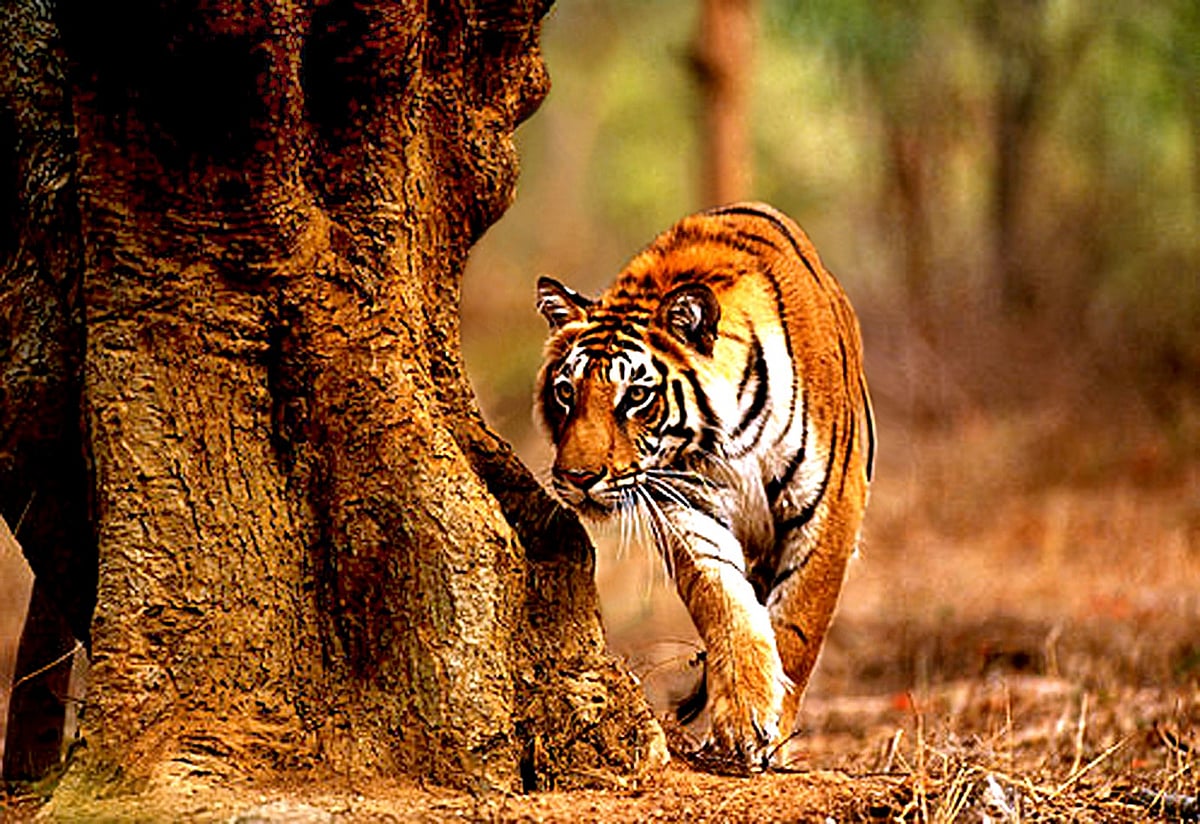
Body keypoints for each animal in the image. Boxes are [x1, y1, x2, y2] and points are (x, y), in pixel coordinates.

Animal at [534, 202, 875, 768]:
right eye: (566, 393)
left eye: (635, 397)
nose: (577, 478)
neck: (728, 437)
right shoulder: (686, 504)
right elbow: (726, 606)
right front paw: (743, 718)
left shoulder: (830, 505)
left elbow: (798, 625)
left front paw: (773, 735)